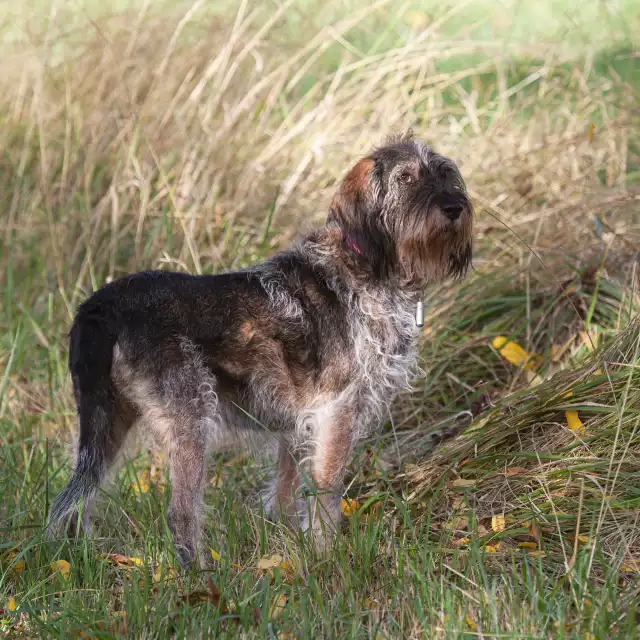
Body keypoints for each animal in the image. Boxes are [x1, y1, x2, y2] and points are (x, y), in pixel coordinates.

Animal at [45, 135, 472, 564]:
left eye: (446, 174)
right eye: (405, 178)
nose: (454, 207)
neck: (368, 264)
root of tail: (101, 306)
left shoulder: (298, 424)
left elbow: (284, 490)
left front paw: (287, 547)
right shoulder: (336, 413)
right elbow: (327, 489)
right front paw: (326, 553)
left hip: (107, 424)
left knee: (70, 503)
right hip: (189, 422)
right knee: (179, 514)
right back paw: (201, 575)